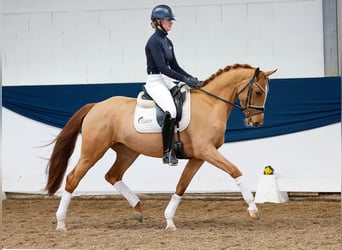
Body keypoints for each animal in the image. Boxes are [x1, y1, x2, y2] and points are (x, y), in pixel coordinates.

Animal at [45, 63, 276, 231]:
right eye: (257, 92)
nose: (257, 123)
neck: (211, 104)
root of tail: (96, 106)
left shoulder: (199, 156)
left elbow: (182, 185)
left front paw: (169, 221)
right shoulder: (207, 151)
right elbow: (235, 171)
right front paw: (253, 209)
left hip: (128, 151)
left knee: (112, 175)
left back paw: (138, 209)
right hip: (93, 151)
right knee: (73, 178)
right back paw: (61, 223)